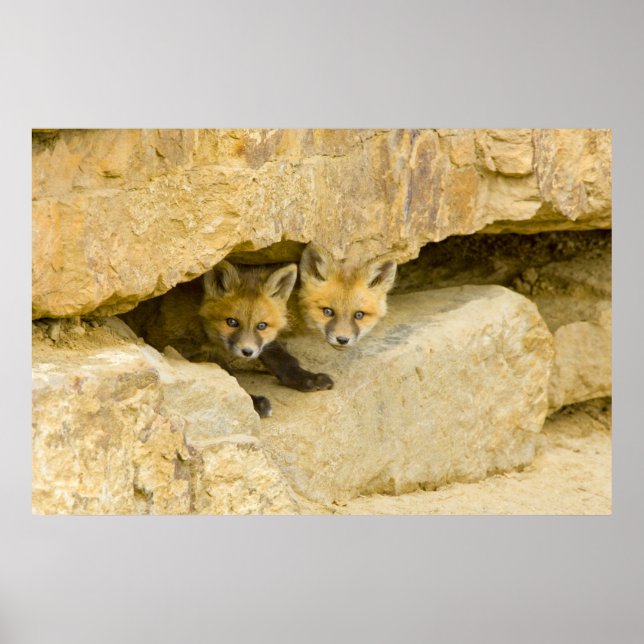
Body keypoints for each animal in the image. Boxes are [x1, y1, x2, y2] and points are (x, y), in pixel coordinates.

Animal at [121, 260, 333, 418]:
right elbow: (228, 374)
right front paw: (253, 402)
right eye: (232, 322)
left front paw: (307, 378)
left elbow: (283, 359)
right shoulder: (168, 341)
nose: (247, 352)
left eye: (261, 326)